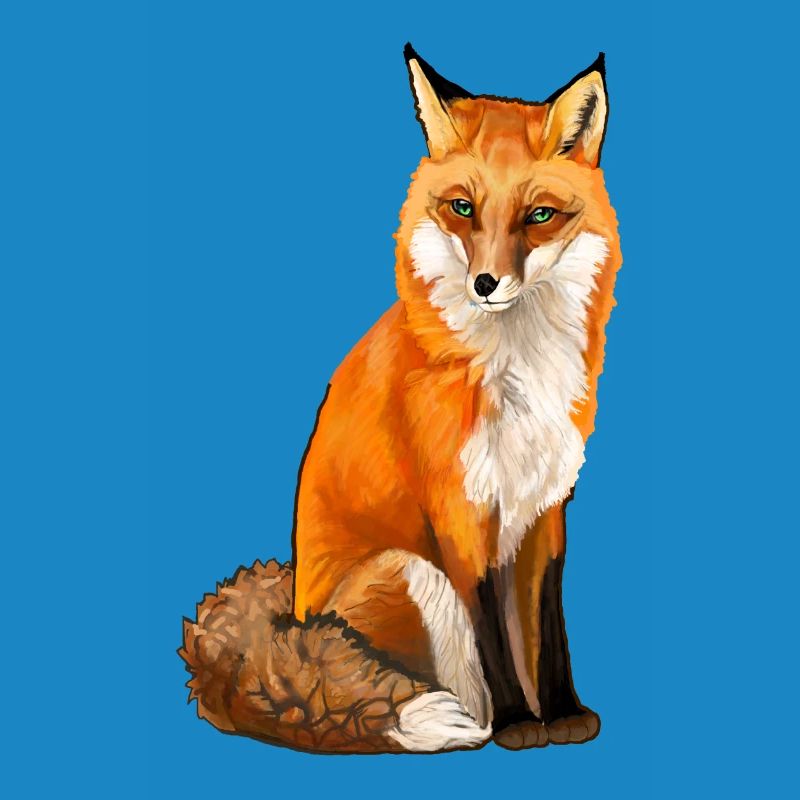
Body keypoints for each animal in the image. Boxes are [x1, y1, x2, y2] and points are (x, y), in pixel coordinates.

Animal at [181, 44, 621, 755]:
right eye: (463, 208)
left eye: (539, 216)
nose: (486, 283)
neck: (515, 370)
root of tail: (289, 618)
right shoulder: (459, 512)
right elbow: (494, 636)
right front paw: (521, 723)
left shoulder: (545, 507)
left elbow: (548, 627)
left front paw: (563, 712)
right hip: (412, 570)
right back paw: (471, 722)